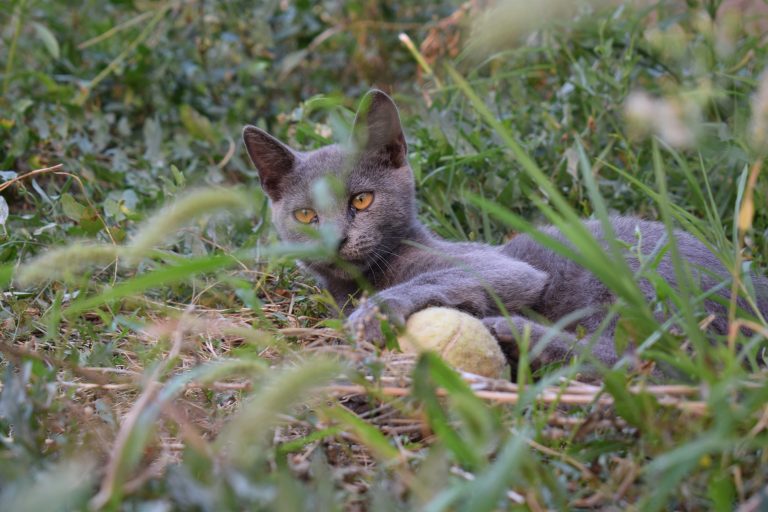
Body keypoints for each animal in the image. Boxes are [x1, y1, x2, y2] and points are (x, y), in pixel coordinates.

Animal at [243, 89, 764, 376]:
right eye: (306, 216)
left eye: (361, 200)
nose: (334, 241)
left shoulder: (501, 265)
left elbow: (439, 278)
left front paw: (374, 312)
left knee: (645, 357)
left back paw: (512, 332)